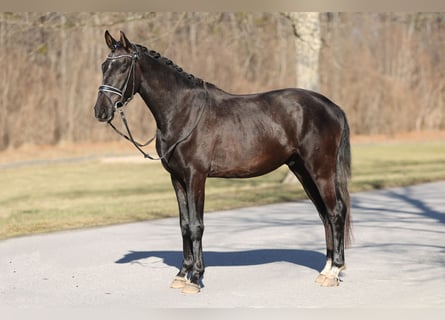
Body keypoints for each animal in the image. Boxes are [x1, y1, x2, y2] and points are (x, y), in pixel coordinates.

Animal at [93, 31, 350, 294]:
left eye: (124, 66)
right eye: (104, 66)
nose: (101, 111)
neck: (183, 111)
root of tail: (333, 108)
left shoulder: (196, 176)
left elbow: (196, 226)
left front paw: (195, 278)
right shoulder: (177, 178)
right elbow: (184, 225)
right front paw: (182, 274)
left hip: (320, 170)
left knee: (336, 212)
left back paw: (334, 270)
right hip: (302, 170)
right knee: (324, 214)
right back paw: (326, 270)